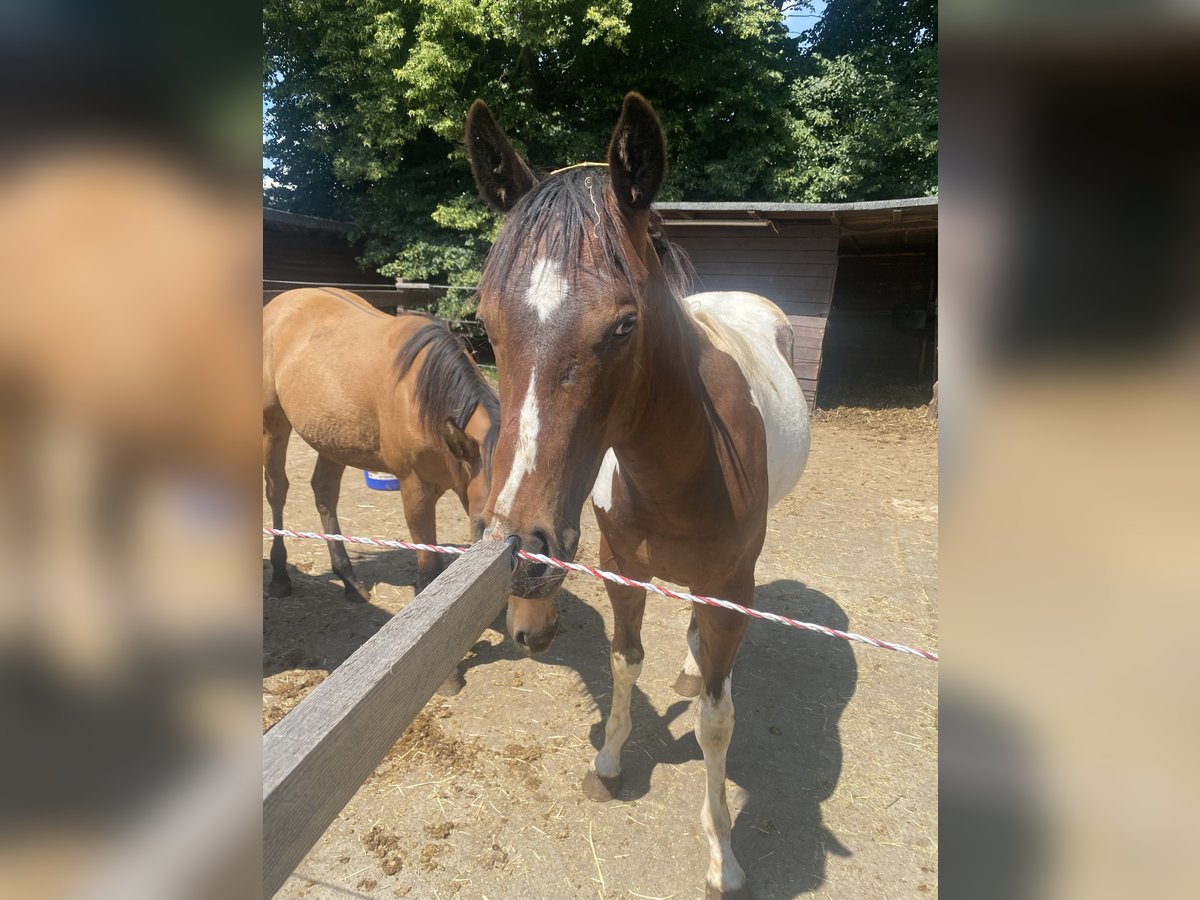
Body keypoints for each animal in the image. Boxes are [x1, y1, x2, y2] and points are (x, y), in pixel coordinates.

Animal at [265, 289, 499, 600]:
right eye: (484, 526)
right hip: (274, 423)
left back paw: (348, 578)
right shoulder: (416, 489)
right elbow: (430, 570)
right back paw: (279, 576)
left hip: (332, 438)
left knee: (324, 492)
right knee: (277, 490)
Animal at [463, 95, 811, 897]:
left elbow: (716, 720)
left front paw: (723, 855)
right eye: (486, 323)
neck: (678, 467)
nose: (522, 549)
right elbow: (624, 663)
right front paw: (609, 764)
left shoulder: (730, 585)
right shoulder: (623, 568)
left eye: (624, 325)